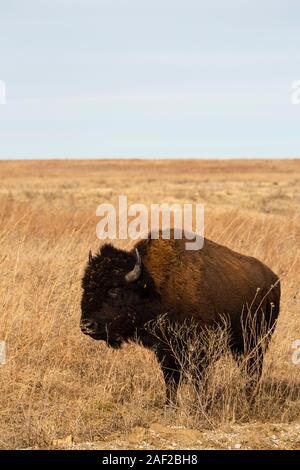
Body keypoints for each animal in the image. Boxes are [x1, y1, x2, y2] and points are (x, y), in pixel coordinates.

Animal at [80, 232, 282, 404]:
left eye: (114, 289)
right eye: (85, 287)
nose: (87, 325)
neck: (152, 285)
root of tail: (274, 279)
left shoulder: (199, 350)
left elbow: (198, 380)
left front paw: (199, 407)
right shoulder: (166, 350)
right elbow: (171, 380)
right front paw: (169, 406)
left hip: (257, 343)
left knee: (253, 372)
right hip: (243, 347)